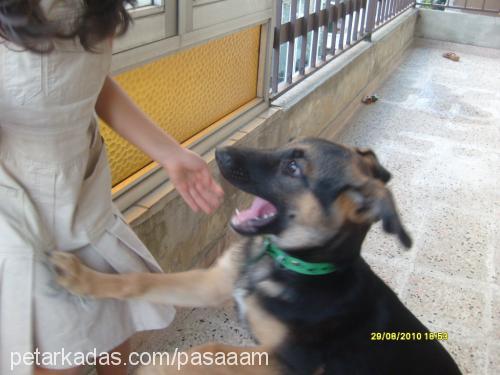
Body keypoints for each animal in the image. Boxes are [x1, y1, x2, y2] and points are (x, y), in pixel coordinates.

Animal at [50, 139, 460, 375]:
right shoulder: (212, 282)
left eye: (293, 168)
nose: (219, 153)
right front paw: (81, 277)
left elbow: (214, 350)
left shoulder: (289, 365)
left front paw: (165, 366)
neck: (285, 262)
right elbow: (140, 280)